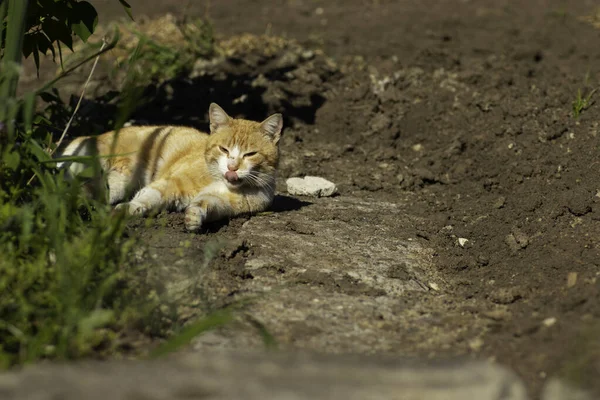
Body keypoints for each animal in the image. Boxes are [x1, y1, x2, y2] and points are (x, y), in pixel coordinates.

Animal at [59, 103, 282, 231]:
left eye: (250, 154)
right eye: (224, 149)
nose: (232, 167)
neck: (222, 181)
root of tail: (90, 137)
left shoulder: (219, 202)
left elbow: (204, 205)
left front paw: (193, 219)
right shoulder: (170, 183)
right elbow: (149, 196)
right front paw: (129, 209)